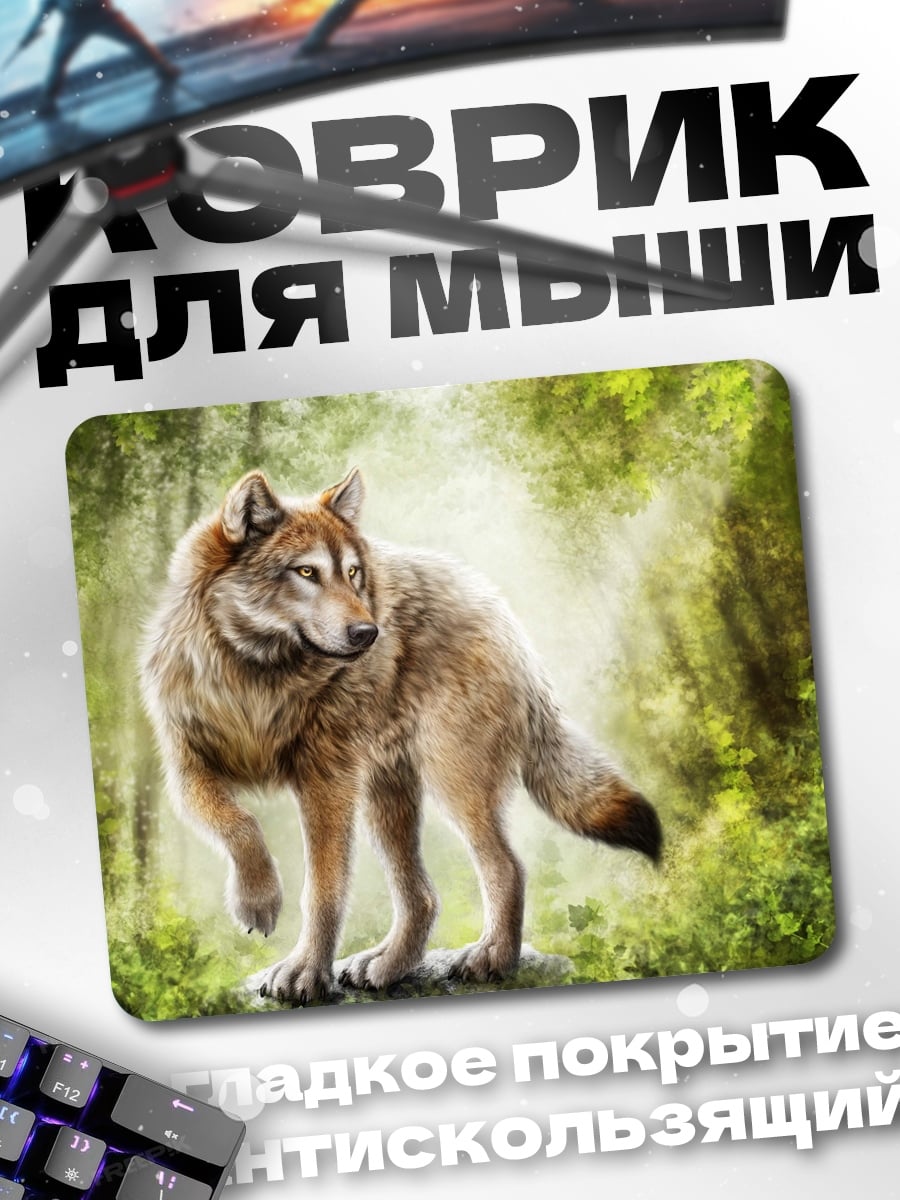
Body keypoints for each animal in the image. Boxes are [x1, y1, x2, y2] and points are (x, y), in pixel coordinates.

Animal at [141, 468, 661, 1004]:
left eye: (352, 574)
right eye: (306, 572)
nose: (368, 633)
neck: (256, 678)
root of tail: (506, 621)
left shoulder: (326, 785)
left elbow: (322, 891)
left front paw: (304, 971)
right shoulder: (186, 774)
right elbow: (239, 824)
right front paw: (258, 902)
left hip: (450, 785)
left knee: (506, 868)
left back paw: (491, 959)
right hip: (387, 798)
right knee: (424, 897)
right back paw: (388, 966)